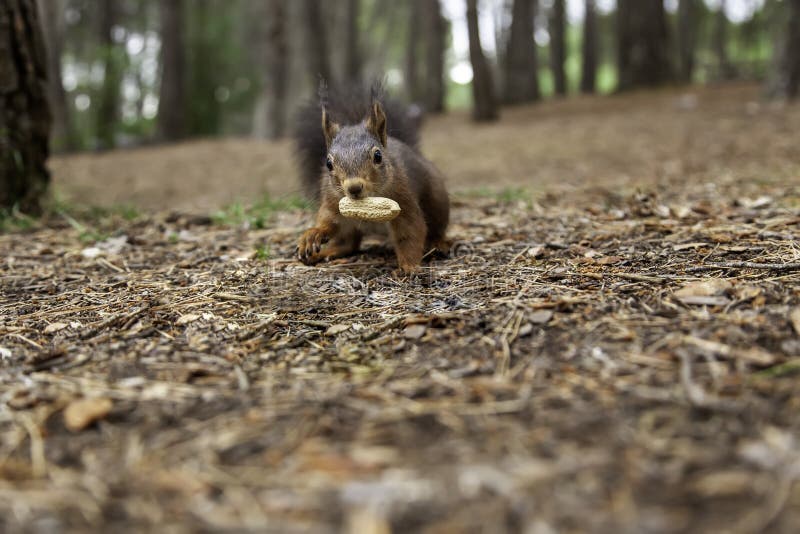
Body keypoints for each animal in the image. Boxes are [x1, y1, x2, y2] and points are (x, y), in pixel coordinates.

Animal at [293, 84, 450, 273]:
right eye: (328, 163)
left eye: (378, 156)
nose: (354, 188)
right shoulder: (332, 203)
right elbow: (327, 221)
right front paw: (312, 234)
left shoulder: (403, 201)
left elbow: (410, 233)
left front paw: (410, 266)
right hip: (347, 225)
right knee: (347, 244)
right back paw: (325, 253)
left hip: (437, 201)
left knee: (437, 228)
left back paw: (438, 244)